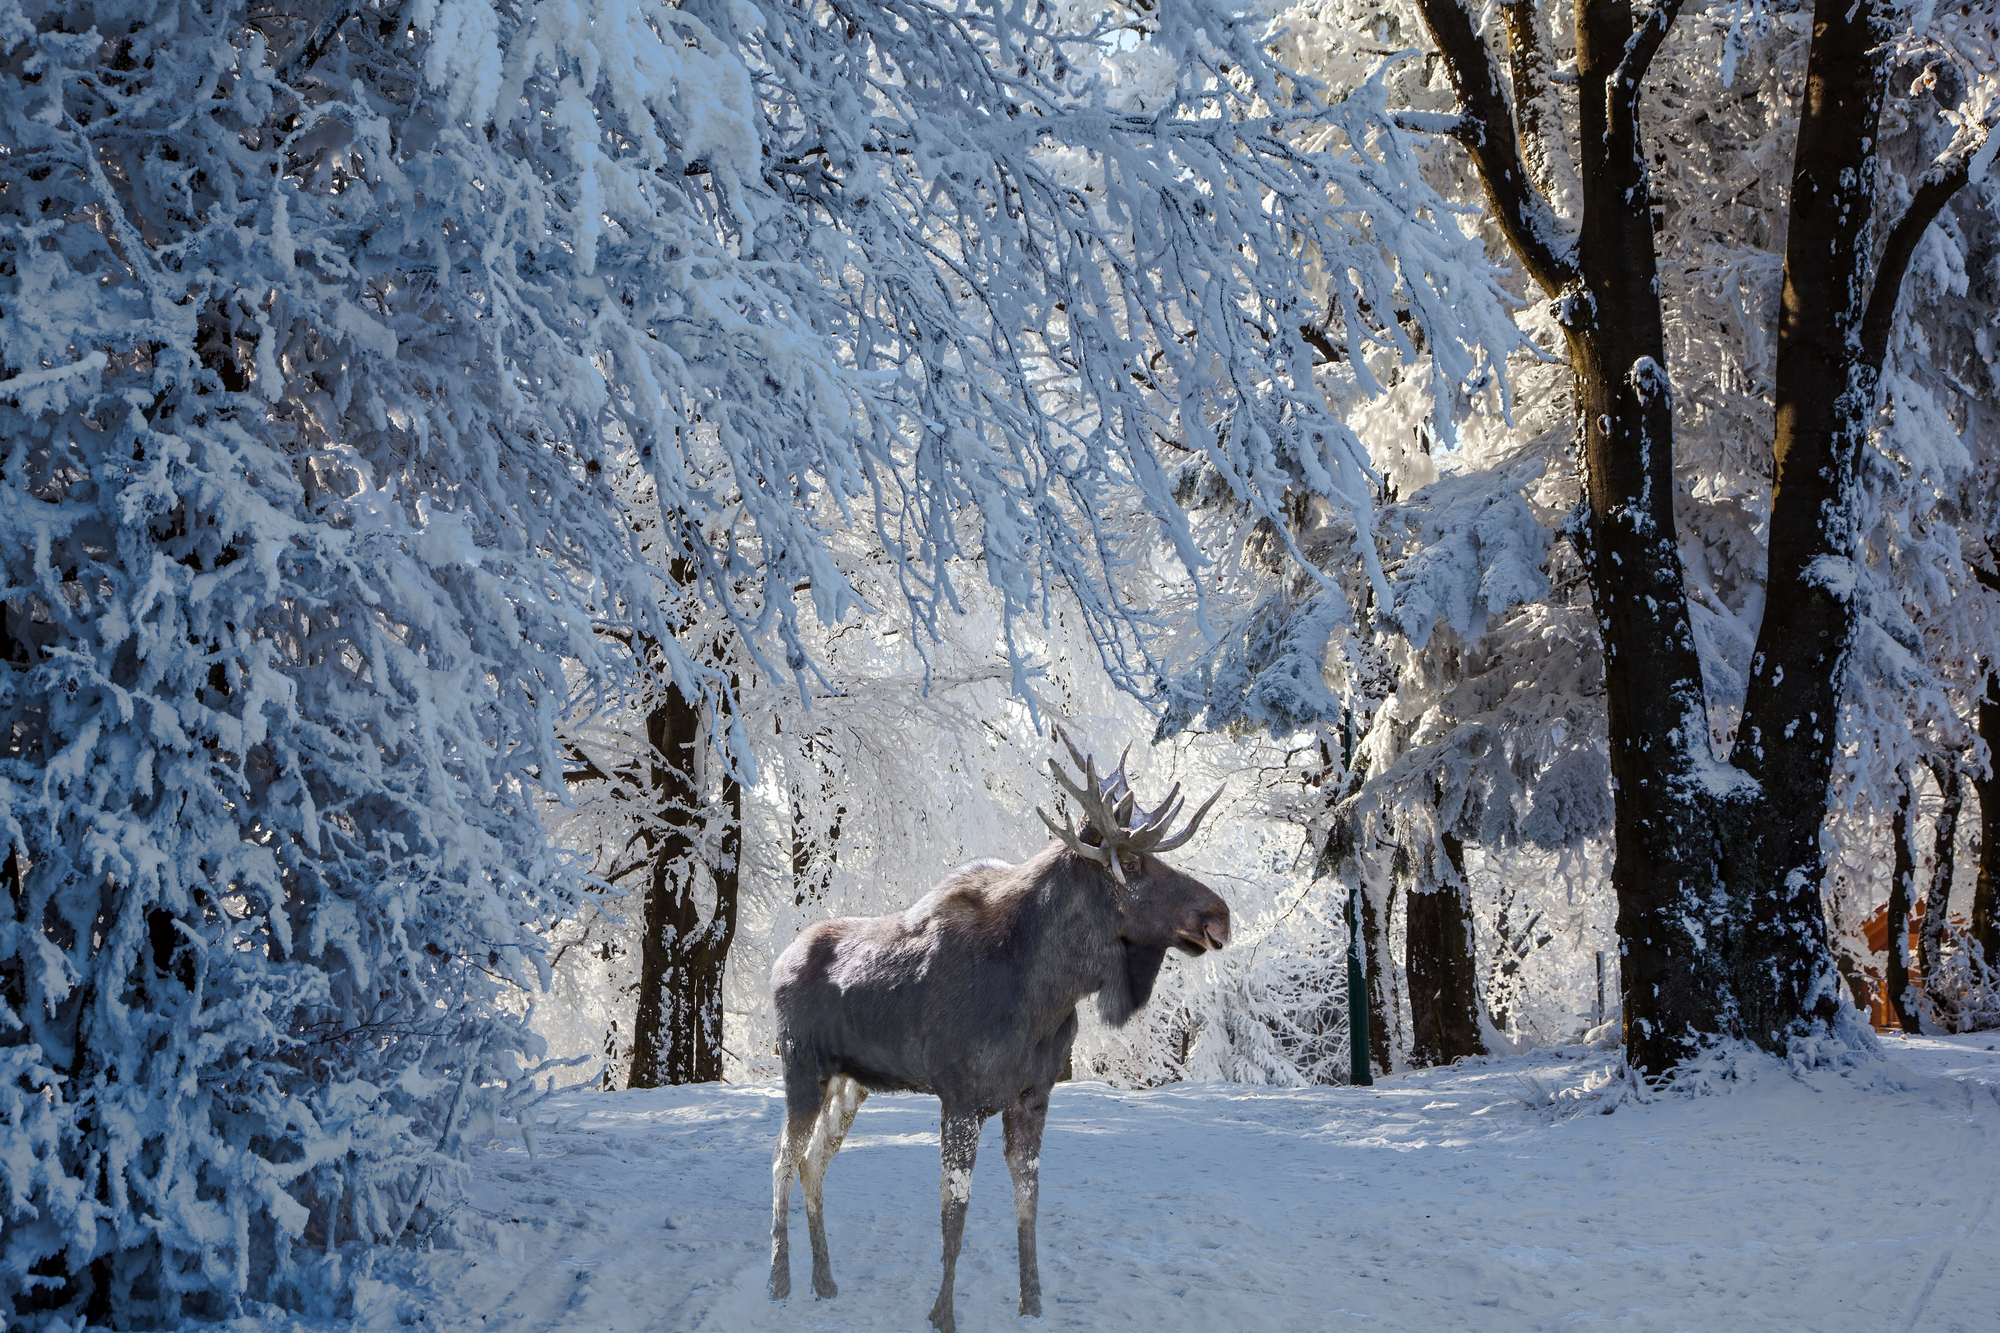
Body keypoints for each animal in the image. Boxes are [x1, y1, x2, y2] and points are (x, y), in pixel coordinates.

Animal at [772, 732, 1224, 1320]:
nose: (1219, 915)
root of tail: (777, 964)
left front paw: (1032, 1304)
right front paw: (942, 1313)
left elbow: (1027, 1202)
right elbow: (955, 1209)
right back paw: (780, 1282)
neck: (1046, 992)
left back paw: (824, 1281)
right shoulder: (961, 1097)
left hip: (850, 1084)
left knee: (813, 1163)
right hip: (801, 1070)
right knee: (782, 1161)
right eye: (1130, 861)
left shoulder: (1032, 1095)